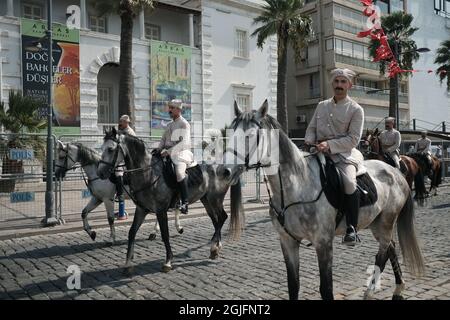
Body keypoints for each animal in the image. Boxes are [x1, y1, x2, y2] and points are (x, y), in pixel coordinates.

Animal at [53, 140, 184, 242]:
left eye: (61, 156)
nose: (56, 174)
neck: (97, 172)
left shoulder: (107, 199)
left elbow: (110, 218)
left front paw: (112, 238)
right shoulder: (97, 198)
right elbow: (84, 213)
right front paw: (92, 233)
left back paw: (172, 228)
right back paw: (162, 231)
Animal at [96, 128, 244, 272]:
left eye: (111, 149)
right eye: (102, 148)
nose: (100, 173)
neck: (149, 173)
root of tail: (226, 168)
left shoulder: (161, 211)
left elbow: (165, 234)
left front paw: (168, 261)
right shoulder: (141, 209)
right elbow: (132, 232)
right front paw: (128, 264)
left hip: (215, 199)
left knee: (222, 217)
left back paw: (214, 247)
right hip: (206, 200)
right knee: (216, 220)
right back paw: (216, 247)